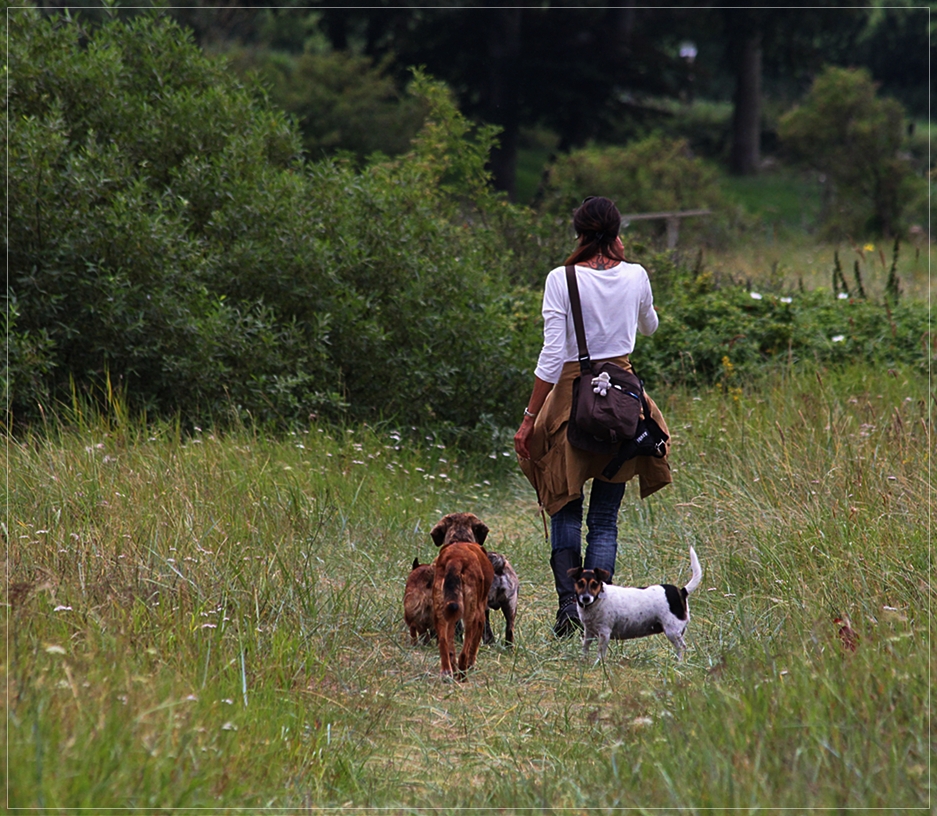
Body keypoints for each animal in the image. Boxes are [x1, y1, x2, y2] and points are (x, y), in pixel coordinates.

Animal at [428, 512, 494, 680]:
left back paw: (447, 671)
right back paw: (463, 674)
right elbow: (474, 646)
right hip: (472, 615)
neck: (460, 539)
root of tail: (455, 560)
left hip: (440, 613)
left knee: (446, 646)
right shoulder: (481, 615)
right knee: (464, 652)